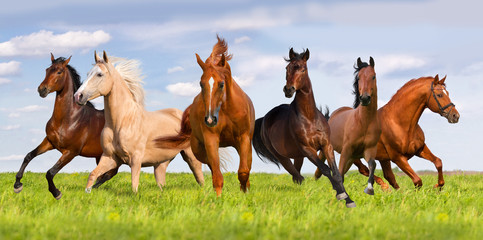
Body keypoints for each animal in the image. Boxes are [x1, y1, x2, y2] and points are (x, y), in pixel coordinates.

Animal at [13, 54, 117, 199]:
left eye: (59, 71)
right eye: (47, 70)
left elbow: (50, 172)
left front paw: (56, 193)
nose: (42, 89)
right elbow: (28, 156)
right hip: (100, 156)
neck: (69, 120)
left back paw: (90, 189)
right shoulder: (49, 142)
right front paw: (17, 185)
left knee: (110, 173)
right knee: (106, 173)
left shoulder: (71, 152)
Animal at [73, 51, 204, 193]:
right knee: (161, 182)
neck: (123, 122)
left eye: (99, 74)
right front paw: (88, 192)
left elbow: (134, 185)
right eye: (88, 73)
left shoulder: (135, 159)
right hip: (161, 163)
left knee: (199, 176)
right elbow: (92, 175)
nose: (78, 96)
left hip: (190, 155)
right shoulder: (110, 157)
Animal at [156, 36, 258, 197]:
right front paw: (218, 199)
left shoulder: (243, 138)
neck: (226, 109)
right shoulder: (211, 138)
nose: (210, 119)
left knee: (246, 165)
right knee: (211, 166)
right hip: (199, 149)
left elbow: (243, 171)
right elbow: (217, 175)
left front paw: (244, 194)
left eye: (221, 84)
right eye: (201, 84)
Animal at [253, 47, 356, 207]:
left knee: (297, 175)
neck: (309, 118)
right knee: (296, 175)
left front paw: (348, 199)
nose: (288, 90)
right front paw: (340, 194)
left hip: (298, 156)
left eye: (303, 69)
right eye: (287, 68)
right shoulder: (307, 149)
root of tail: (265, 118)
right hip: (281, 155)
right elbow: (325, 169)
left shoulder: (327, 145)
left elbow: (336, 172)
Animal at [314, 57, 382, 195]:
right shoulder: (346, 150)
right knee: (320, 170)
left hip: (351, 159)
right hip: (329, 150)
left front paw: (370, 188)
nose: (365, 98)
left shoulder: (369, 150)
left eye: (373, 76)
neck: (364, 122)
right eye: (358, 77)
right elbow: (339, 173)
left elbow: (372, 165)